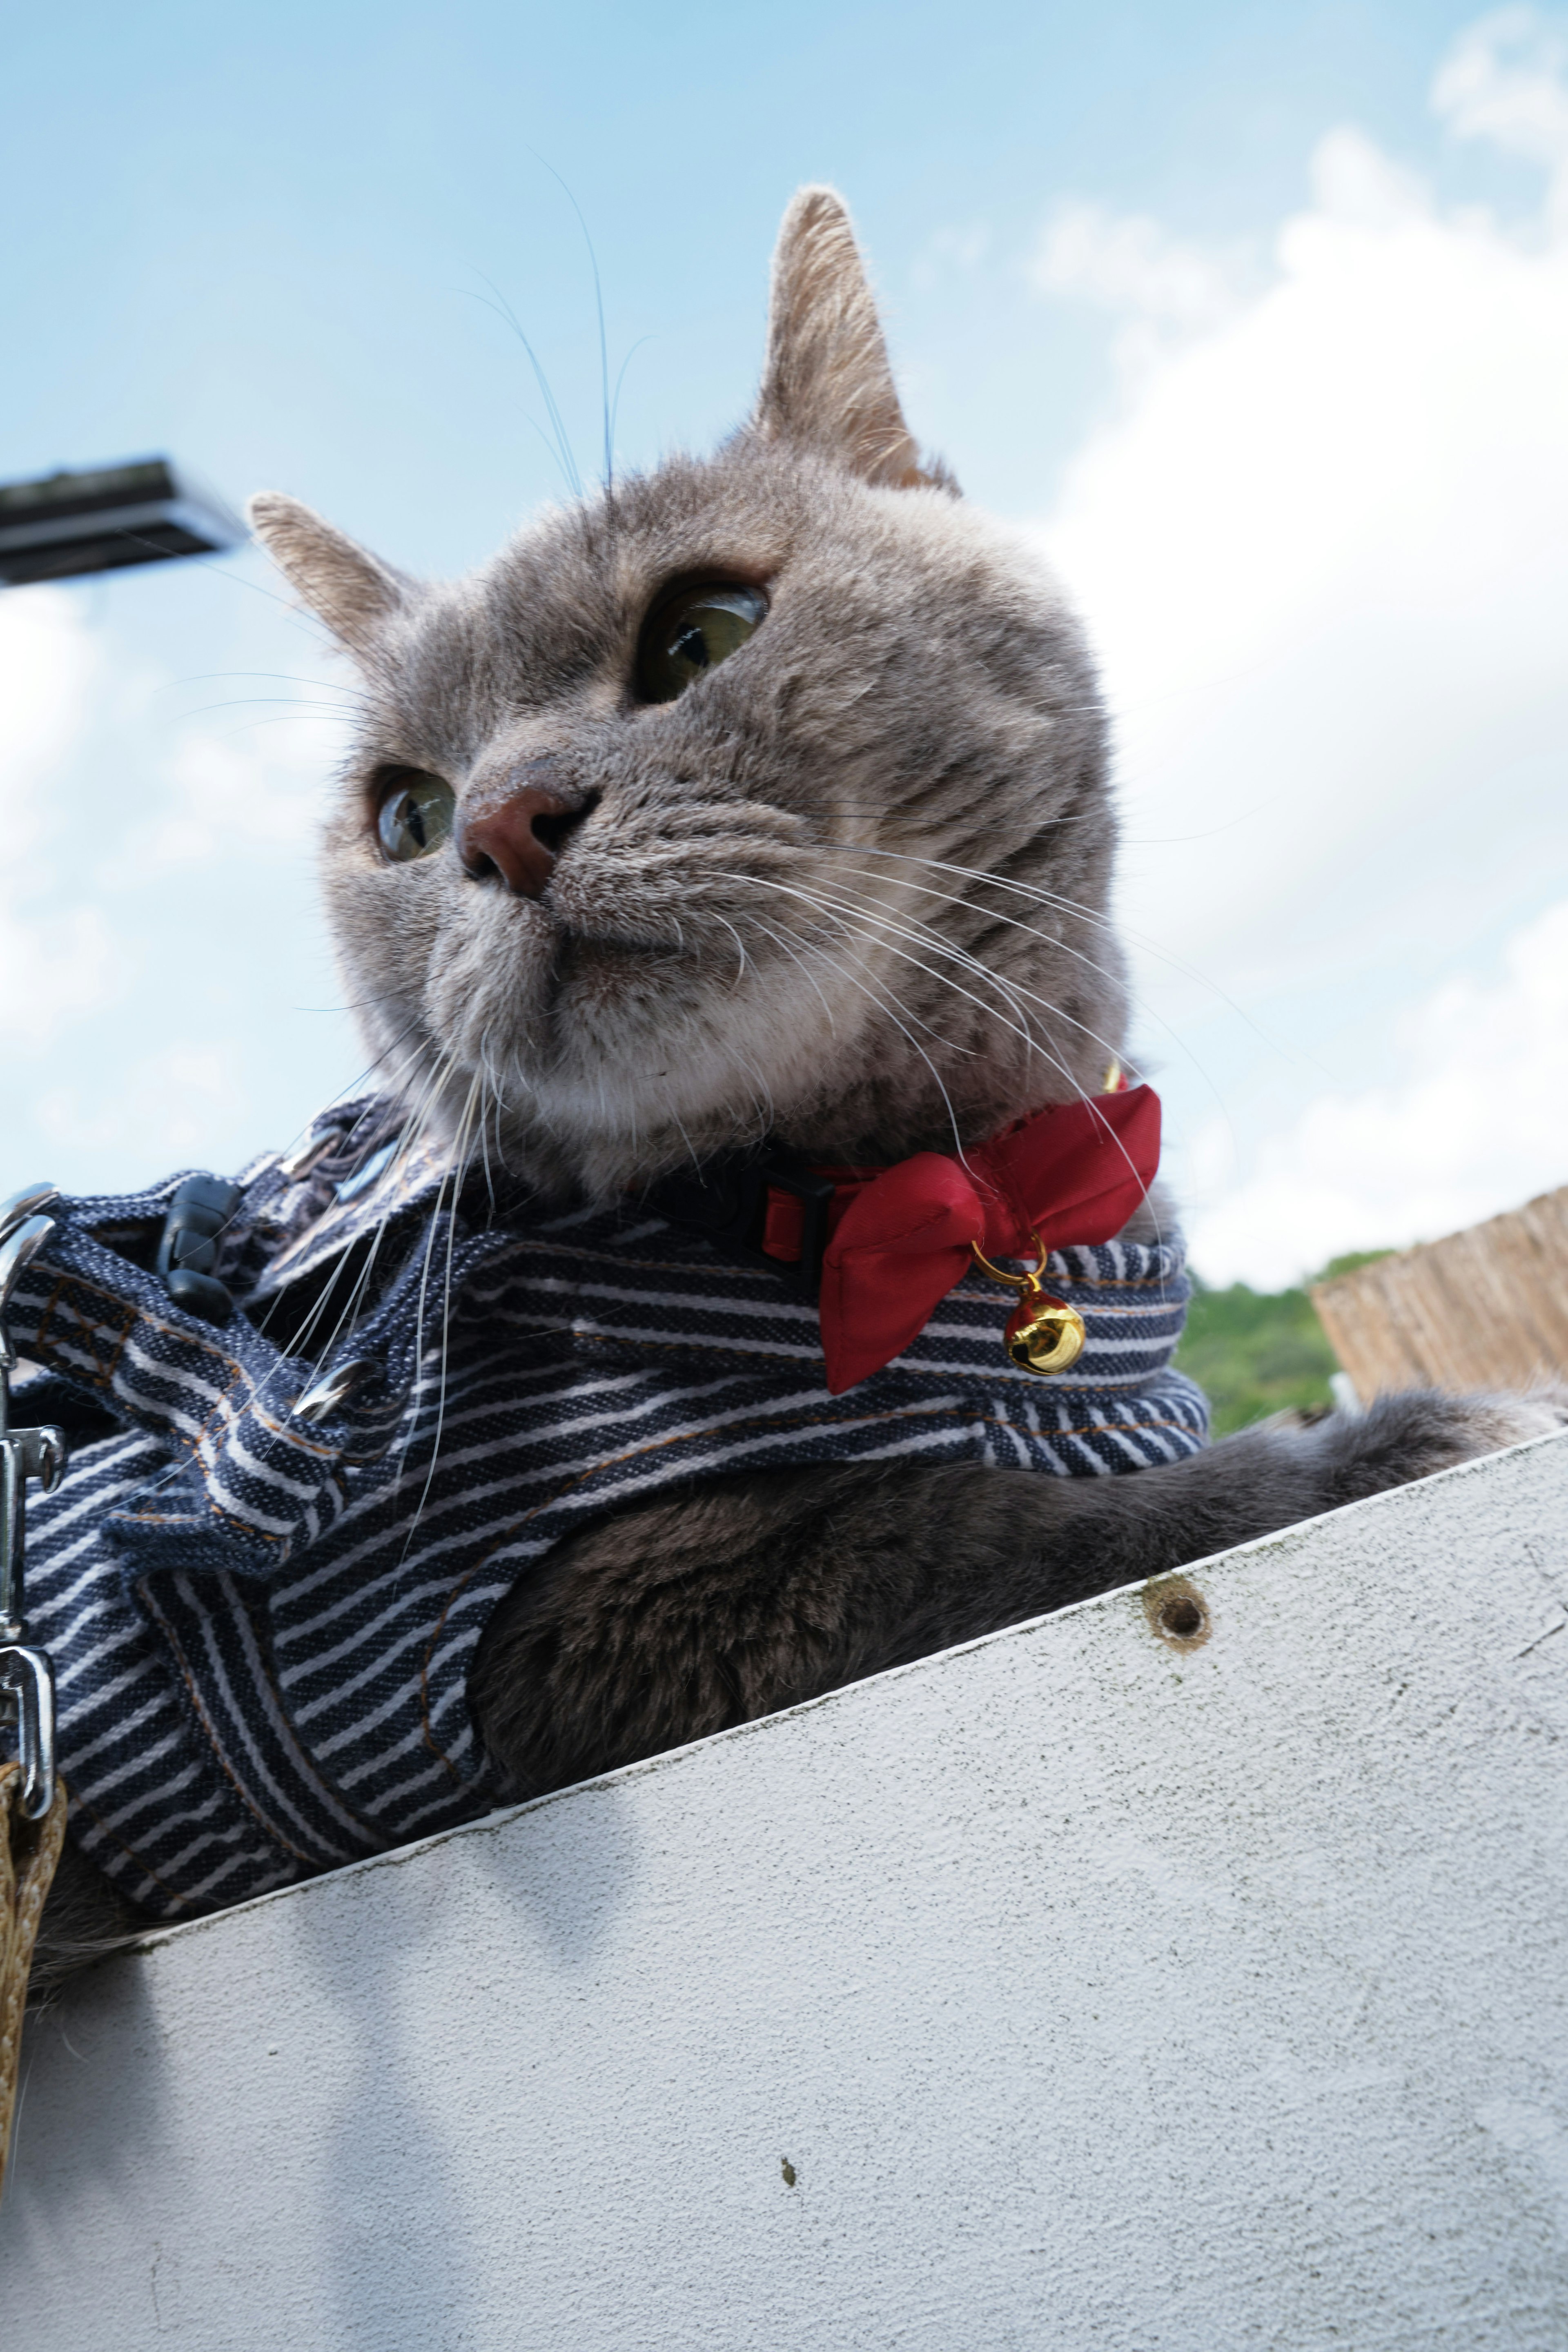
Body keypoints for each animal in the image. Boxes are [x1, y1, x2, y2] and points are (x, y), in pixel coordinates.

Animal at [33, 193, 1561, 1976]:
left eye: (704, 631)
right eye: (403, 813)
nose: (496, 822)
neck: (959, 1217)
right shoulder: (564, 1609)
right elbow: (1003, 1520)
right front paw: (1408, 1434)